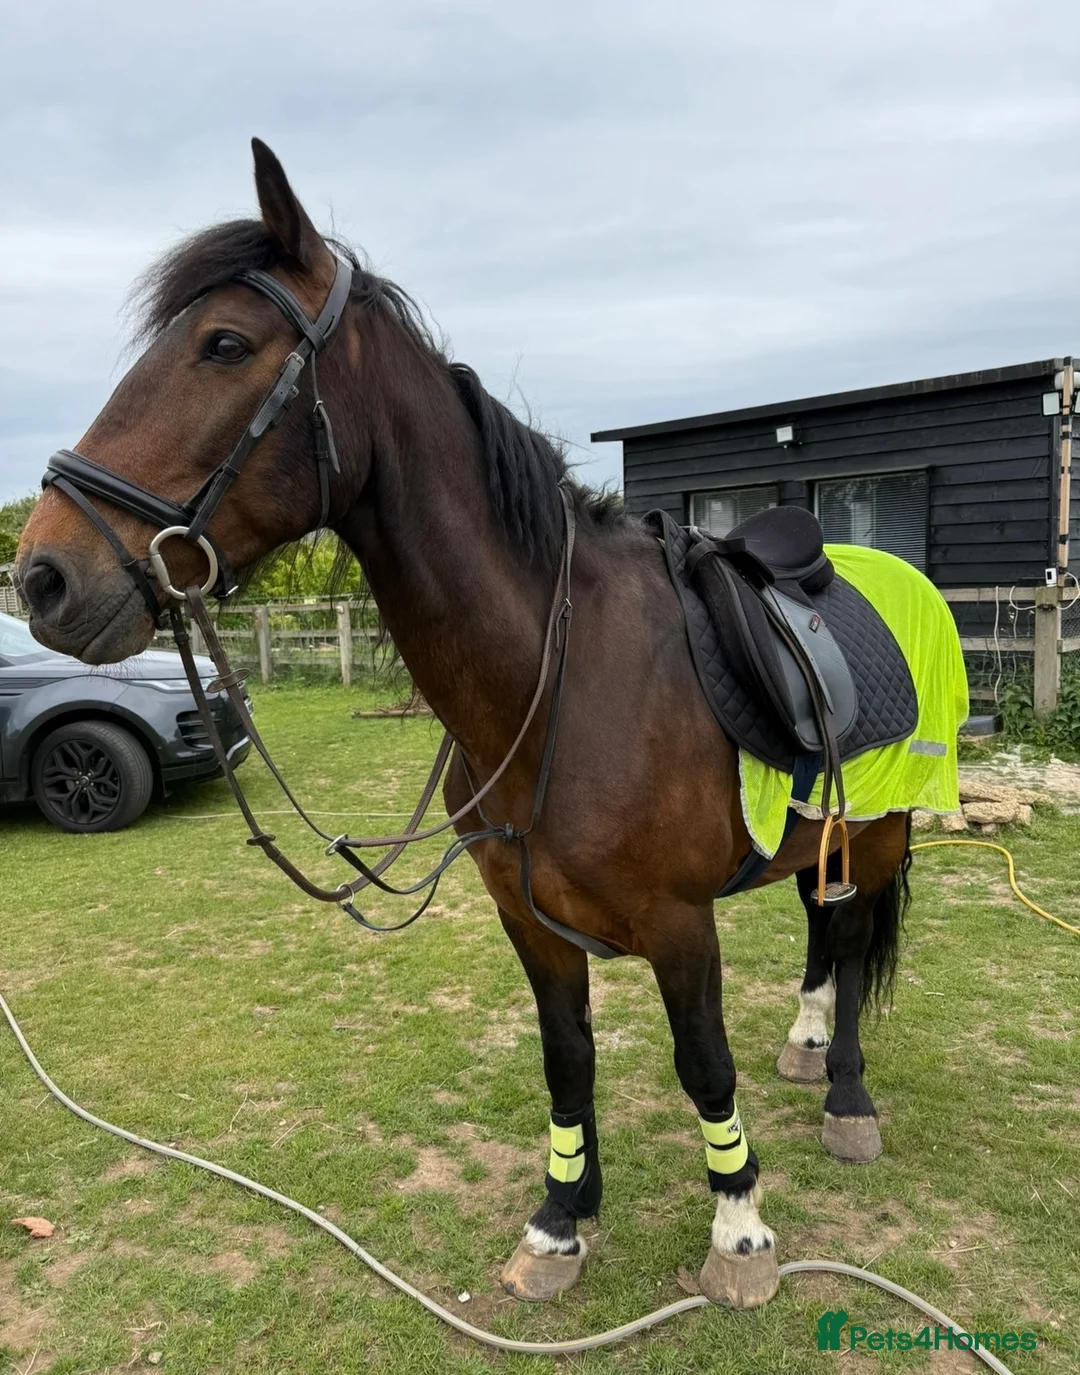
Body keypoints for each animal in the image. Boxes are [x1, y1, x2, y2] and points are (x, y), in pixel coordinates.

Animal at [17, 139, 913, 1310]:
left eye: (224, 344)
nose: (42, 574)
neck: (562, 678)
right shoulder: (527, 916)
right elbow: (566, 1057)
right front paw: (559, 1221)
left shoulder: (680, 923)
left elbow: (702, 1062)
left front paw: (742, 1232)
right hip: (823, 829)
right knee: (821, 922)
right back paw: (807, 1044)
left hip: (887, 831)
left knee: (850, 945)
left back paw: (845, 1092)